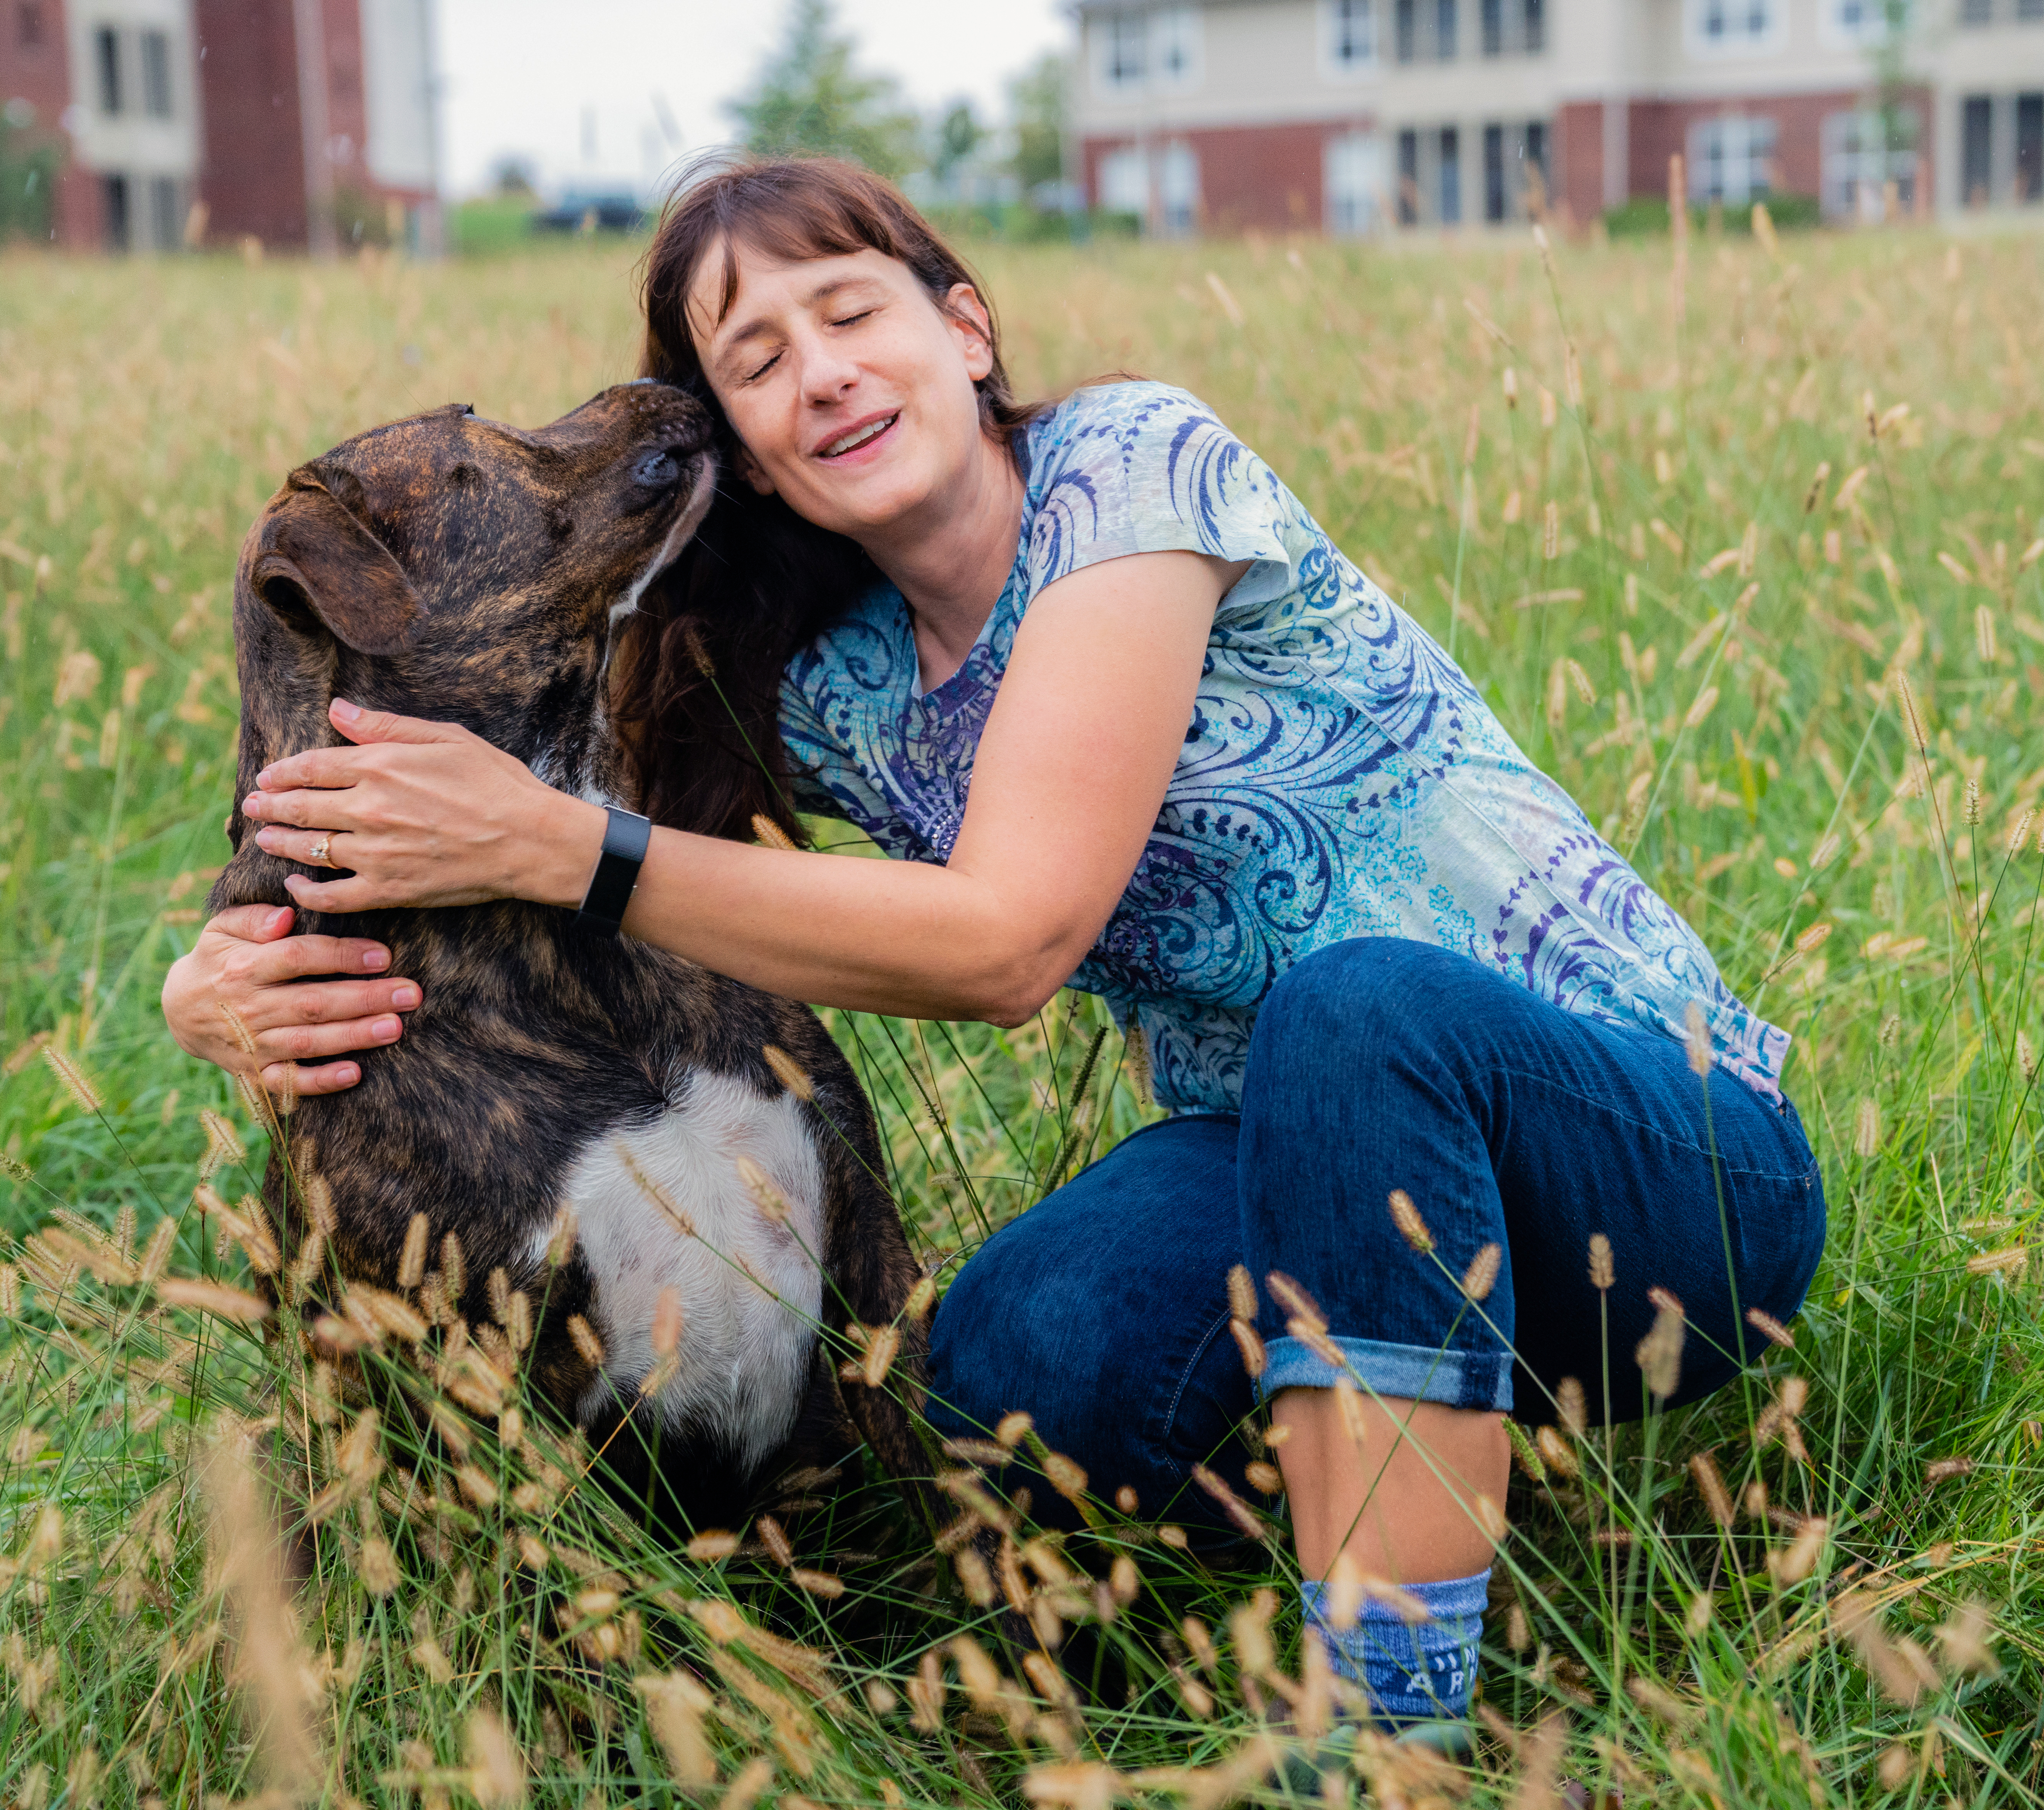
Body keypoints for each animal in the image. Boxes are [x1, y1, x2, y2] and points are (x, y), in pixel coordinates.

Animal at [211, 388, 932, 1530]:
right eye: (475, 433)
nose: (668, 389)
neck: (558, 948)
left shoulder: (870, 1251)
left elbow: (966, 1503)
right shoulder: (485, 1375)